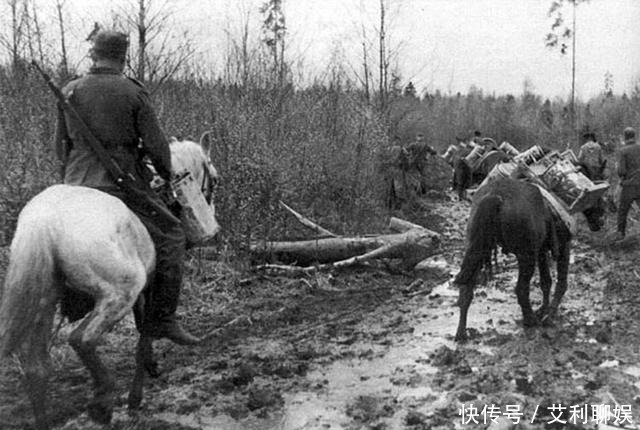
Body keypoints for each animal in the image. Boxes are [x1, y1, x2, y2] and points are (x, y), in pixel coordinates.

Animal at [0, 132, 220, 430]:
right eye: (214, 179)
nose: (211, 223)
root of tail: (43, 220)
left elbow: (142, 335)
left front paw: (150, 370)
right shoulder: (147, 289)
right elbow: (144, 338)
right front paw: (135, 397)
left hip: (44, 304)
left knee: (37, 366)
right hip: (118, 294)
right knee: (81, 339)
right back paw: (103, 402)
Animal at [456, 176, 604, 340]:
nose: (601, 222)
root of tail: (496, 196)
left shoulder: (541, 251)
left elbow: (546, 282)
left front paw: (543, 309)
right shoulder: (564, 246)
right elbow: (561, 284)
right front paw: (549, 315)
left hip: (476, 250)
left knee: (466, 289)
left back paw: (461, 333)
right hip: (525, 258)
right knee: (521, 289)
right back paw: (530, 320)